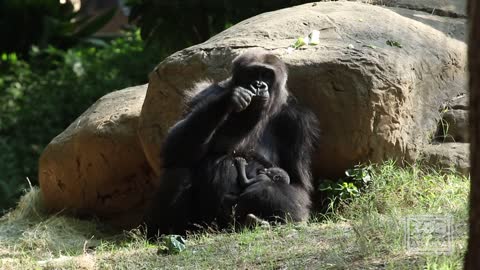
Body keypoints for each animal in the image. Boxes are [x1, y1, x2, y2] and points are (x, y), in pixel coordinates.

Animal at [145, 48, 318, 236]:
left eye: (267, 75)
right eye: (253, 73)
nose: (259, 85)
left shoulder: (297, 121)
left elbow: (296, 184)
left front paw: (265, 188)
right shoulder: (203, 93)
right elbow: (174, 147)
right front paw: (229, 98)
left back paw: (256, 221)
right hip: (207, 224)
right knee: (179, 168)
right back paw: (169, 232)